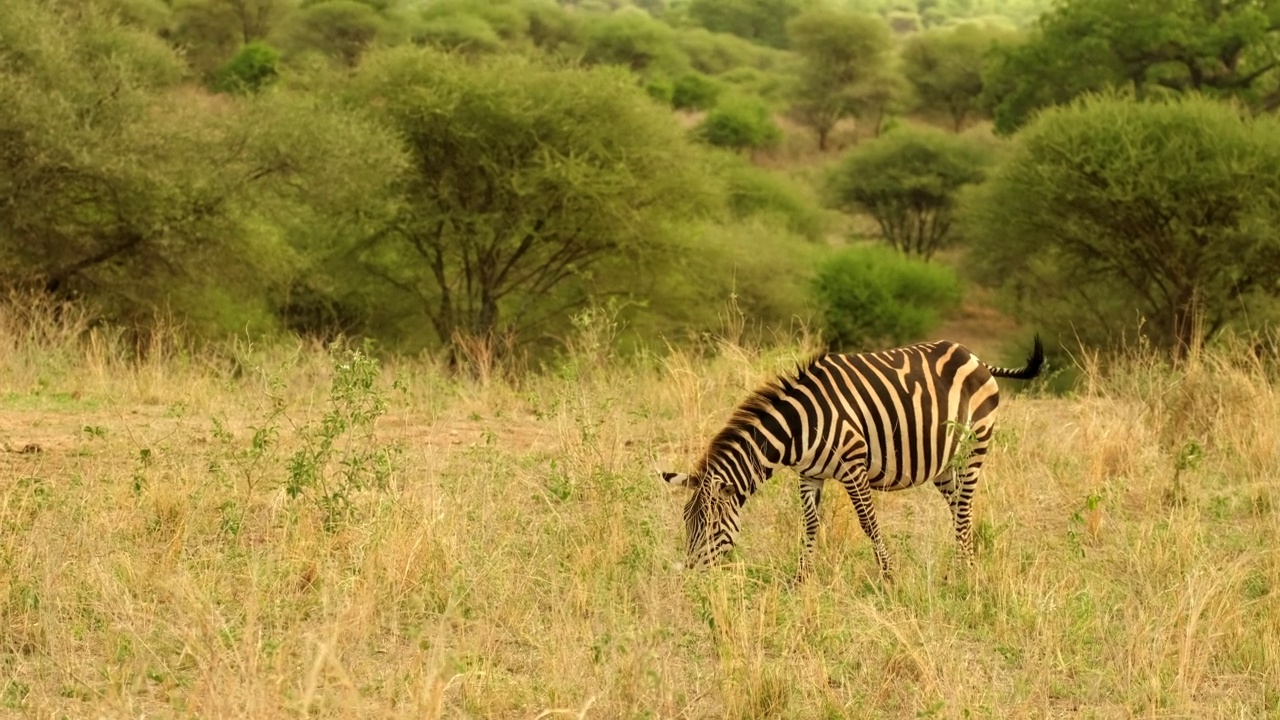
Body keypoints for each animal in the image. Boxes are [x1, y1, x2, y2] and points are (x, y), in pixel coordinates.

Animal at [660, 335, 1039, 576]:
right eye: (686, 523)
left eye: (710, 526)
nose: (692, 576)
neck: (798, 427)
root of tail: (974, 357)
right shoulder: (809, 474)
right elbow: (810, 524)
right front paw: (801, 579)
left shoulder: (853, 467)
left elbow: (868, 523)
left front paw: (888, 576)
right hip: (946, 463)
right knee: (958, 505)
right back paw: (963, 562)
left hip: (975, 445)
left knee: (965, 505)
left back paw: (965, 572)